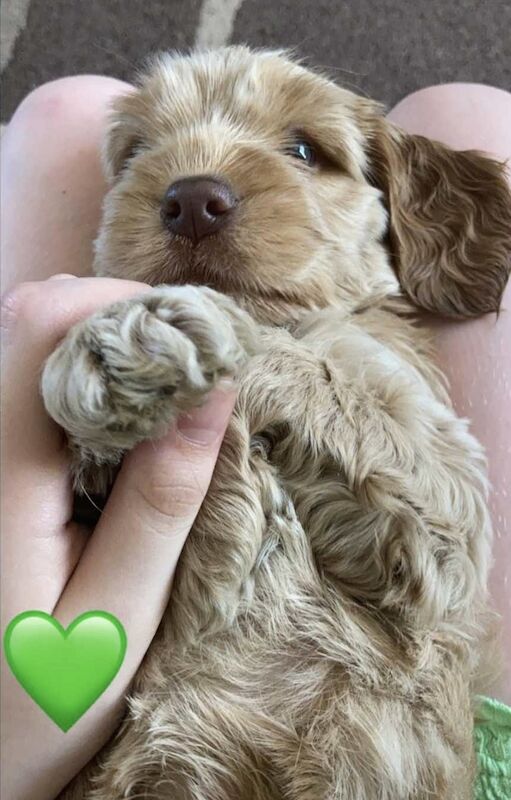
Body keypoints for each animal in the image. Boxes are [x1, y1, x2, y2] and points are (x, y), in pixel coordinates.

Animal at [45, 45, 511, 800]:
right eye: (138, 151)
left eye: (305, 150)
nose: (191, 200)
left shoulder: (440, 533)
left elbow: (291, 348)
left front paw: (136, 336)